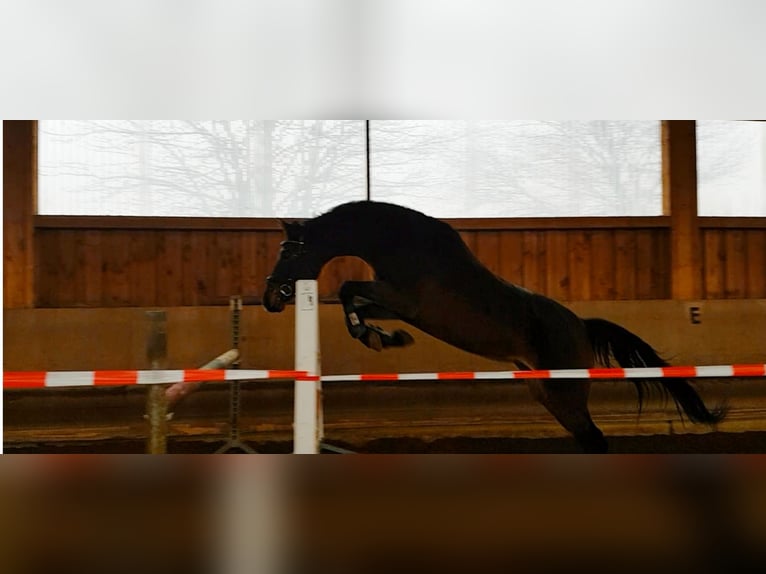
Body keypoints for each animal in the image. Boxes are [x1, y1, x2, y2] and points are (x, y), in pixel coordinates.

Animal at [263, 200, 726, 452]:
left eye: (289, 251)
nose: (270, 298)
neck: (401, 244)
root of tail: (580, 325)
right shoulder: (395, 305)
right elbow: (354, 302)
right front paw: (385, 338)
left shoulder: (402, 298)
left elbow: (346, 289)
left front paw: (373, 338)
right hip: (546, 392)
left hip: (565, 392)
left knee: (595, 440)